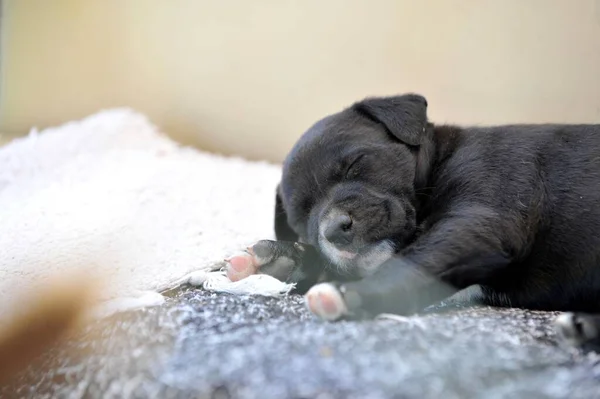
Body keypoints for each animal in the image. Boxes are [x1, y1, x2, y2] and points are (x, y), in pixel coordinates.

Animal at [227, 94, 600, 346]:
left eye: (355, 164)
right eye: (303, 216)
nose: (333, 230)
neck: (440, 159)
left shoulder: (480, 222)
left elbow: (411, 263)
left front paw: (352, 295)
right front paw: (281, 259)